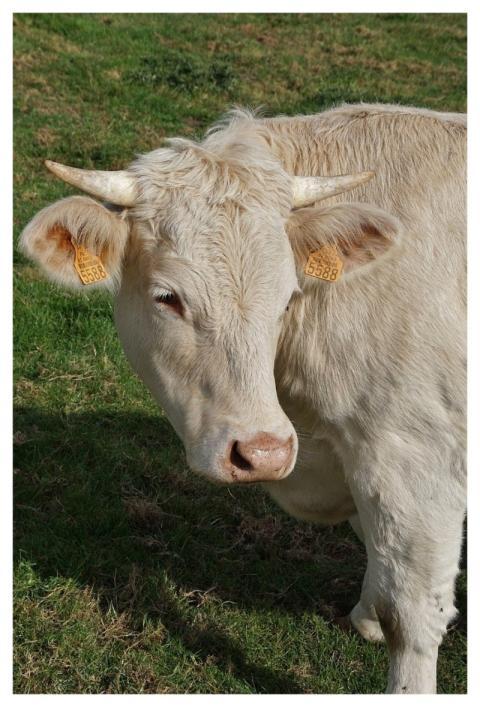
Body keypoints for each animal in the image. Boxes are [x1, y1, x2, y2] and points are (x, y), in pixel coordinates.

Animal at [19, 103, 466, 694]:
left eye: (288, 297)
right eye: (168, 298)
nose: (264, 453)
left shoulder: (419, 458)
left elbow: (411, 612)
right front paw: (367, 616)